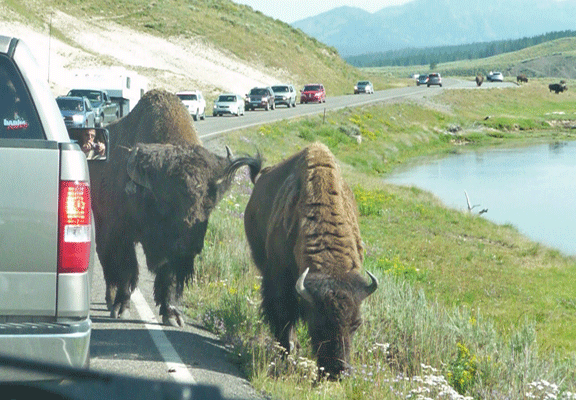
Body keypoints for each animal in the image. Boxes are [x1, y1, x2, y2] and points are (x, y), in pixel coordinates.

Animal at [90, 88, 260, 324]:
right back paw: (110, 300)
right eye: (166, 202)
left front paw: (172, 315)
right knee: (108, 267)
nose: (190, 243)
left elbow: (168, 276)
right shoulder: (119, 234)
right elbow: (126, 270)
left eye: (209, 205)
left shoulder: (172, 253)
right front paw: (121, 308)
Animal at [243, 143, 378, 378]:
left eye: (356, 324)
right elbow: (283, 317)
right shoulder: (280, 283)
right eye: (318, 323)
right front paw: (286, 354)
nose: (337, 371)